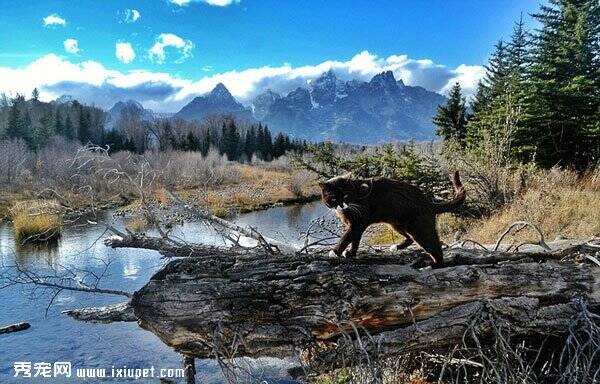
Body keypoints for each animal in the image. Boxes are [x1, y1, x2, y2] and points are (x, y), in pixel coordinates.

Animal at [316, 171, 466, 268]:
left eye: (346, 195)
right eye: (334, 198)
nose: (341, 204)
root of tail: (428, 202)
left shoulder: (358, 222)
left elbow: (346, 237)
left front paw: (335, 252)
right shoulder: (356, 225)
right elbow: (355, 240)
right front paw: (351, 253)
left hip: (419, 228)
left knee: (434, 246)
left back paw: (434, 264)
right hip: (398, 225)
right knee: (410, 238)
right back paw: (396, 247)